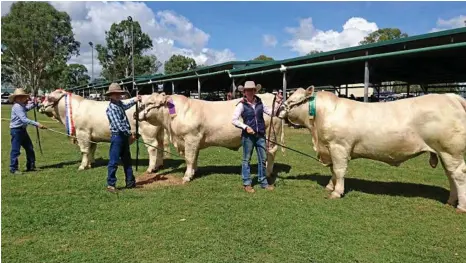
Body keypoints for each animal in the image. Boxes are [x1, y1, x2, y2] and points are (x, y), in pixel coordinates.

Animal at [39, 89, 168, 173]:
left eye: (49, 98)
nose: (40, 106)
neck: (74, 109)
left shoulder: (82, 133)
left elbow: (84, 151)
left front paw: (82, 166)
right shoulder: (91, 136)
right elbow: (91, 150)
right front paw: (90, 164)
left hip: (148, 133)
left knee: (152, 148)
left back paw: (151, 168)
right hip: (159, 133)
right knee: (160, 146)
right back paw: (159, 165)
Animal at [135, 93, 284, 184]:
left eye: (150, 103)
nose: (135, 114)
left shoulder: (191, 138)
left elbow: (189, 158)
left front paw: (186, 177)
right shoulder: (193, 142)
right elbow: (194, 158)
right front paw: (193, 172)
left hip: (269, 136)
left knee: (270, 153)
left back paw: (267, 172)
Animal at [278, 87, 464, 213]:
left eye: (293, 98)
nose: (279, 108)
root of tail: (450, 96)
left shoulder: (339, 147)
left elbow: (338, 170)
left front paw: (336, 192)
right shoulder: (330, 148)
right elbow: (333, 171)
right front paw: (330, 186)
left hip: (451, 151)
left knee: (459, 175)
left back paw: (461, 206)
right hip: (444, 153)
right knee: (451, 175)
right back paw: (450, 201)